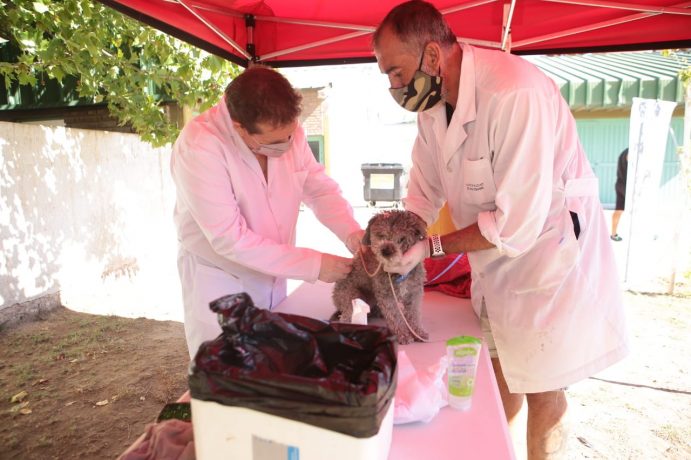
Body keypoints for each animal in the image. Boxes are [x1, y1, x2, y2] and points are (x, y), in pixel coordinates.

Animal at [334, 210, 428, 344]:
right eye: (381, 235)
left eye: (402, 239)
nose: (386, 250)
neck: (398, 274)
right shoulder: (387, 296)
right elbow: (395, 317)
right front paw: (403, 335)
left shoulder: (414, 292)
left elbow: (414, 314)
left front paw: (418, 332)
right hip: (352, 297)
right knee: (347, 315)